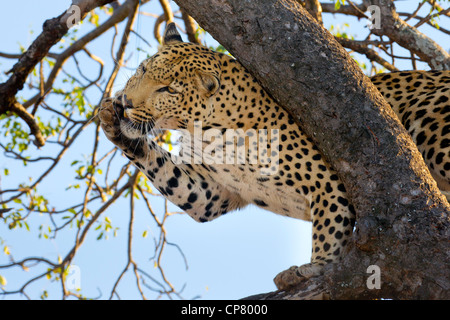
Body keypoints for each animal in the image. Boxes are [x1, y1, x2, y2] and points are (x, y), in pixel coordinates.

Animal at [99, 23, 450, 292]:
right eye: (143, 69)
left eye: (168, 90)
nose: (126, 102)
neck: (204, 131)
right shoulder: (212, 192)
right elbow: (165, 170)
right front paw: (110, 119)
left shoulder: (329, 180)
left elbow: (329, 231)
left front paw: (315, 268)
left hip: (430, 124)